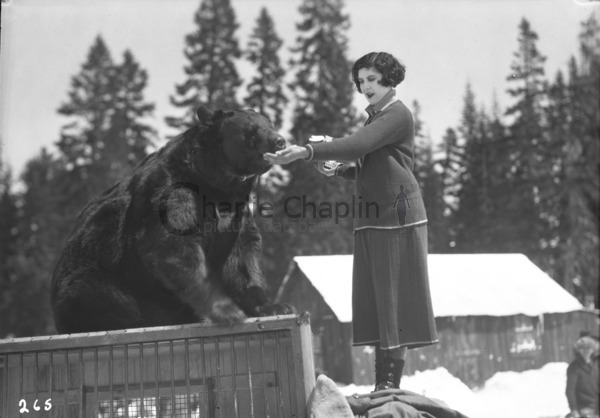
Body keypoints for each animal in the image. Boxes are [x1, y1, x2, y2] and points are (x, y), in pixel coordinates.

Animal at [50, 105, 294, 334]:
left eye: (269, 123)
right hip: (102, 279)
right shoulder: (170, 189)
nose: (279, 140)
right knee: (100, 297)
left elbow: (242, 257)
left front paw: (274, 306)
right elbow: (172, 244)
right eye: (251, 131)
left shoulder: (237, 212)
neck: (218, 182)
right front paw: (225, 310)